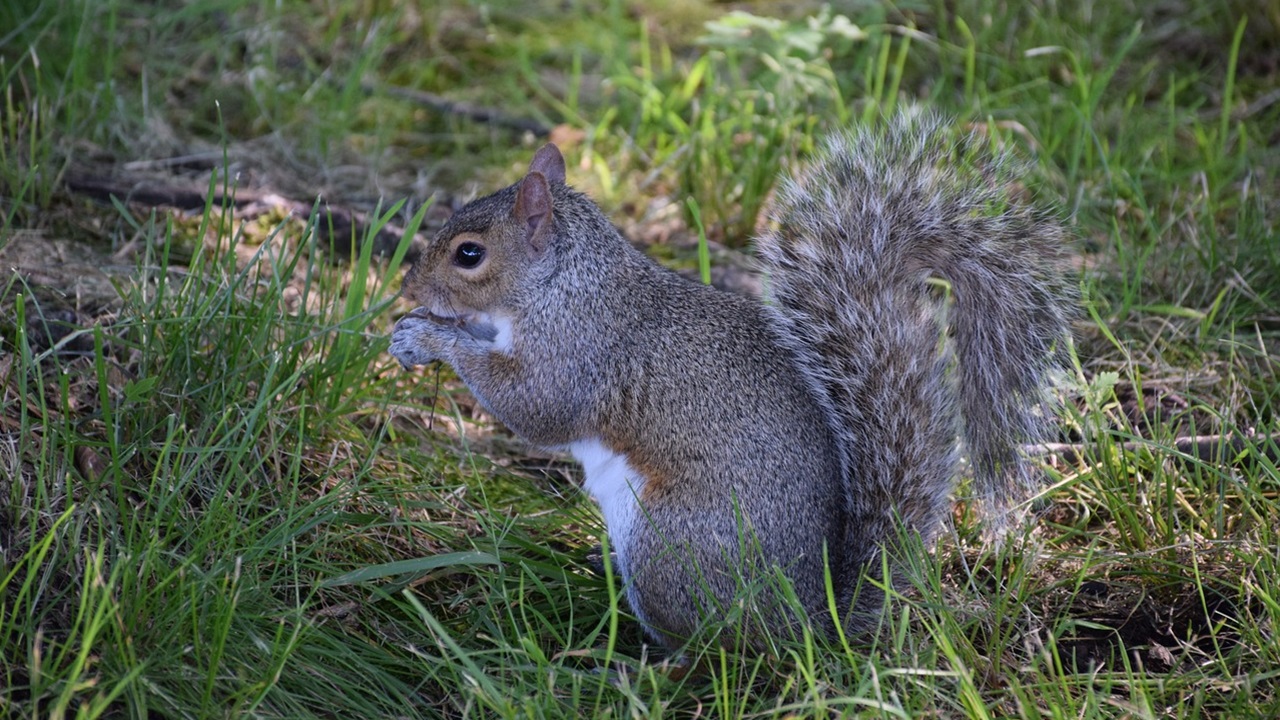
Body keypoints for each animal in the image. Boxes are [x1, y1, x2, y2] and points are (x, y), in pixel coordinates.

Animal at [389, 113, 1070, 650]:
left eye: (470, 254)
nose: (406, 286)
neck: (562, 281)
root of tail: (808, 623)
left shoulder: (578, 352)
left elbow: (534, 407)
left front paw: (429, 338)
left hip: (667, 548)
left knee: (715, 650)